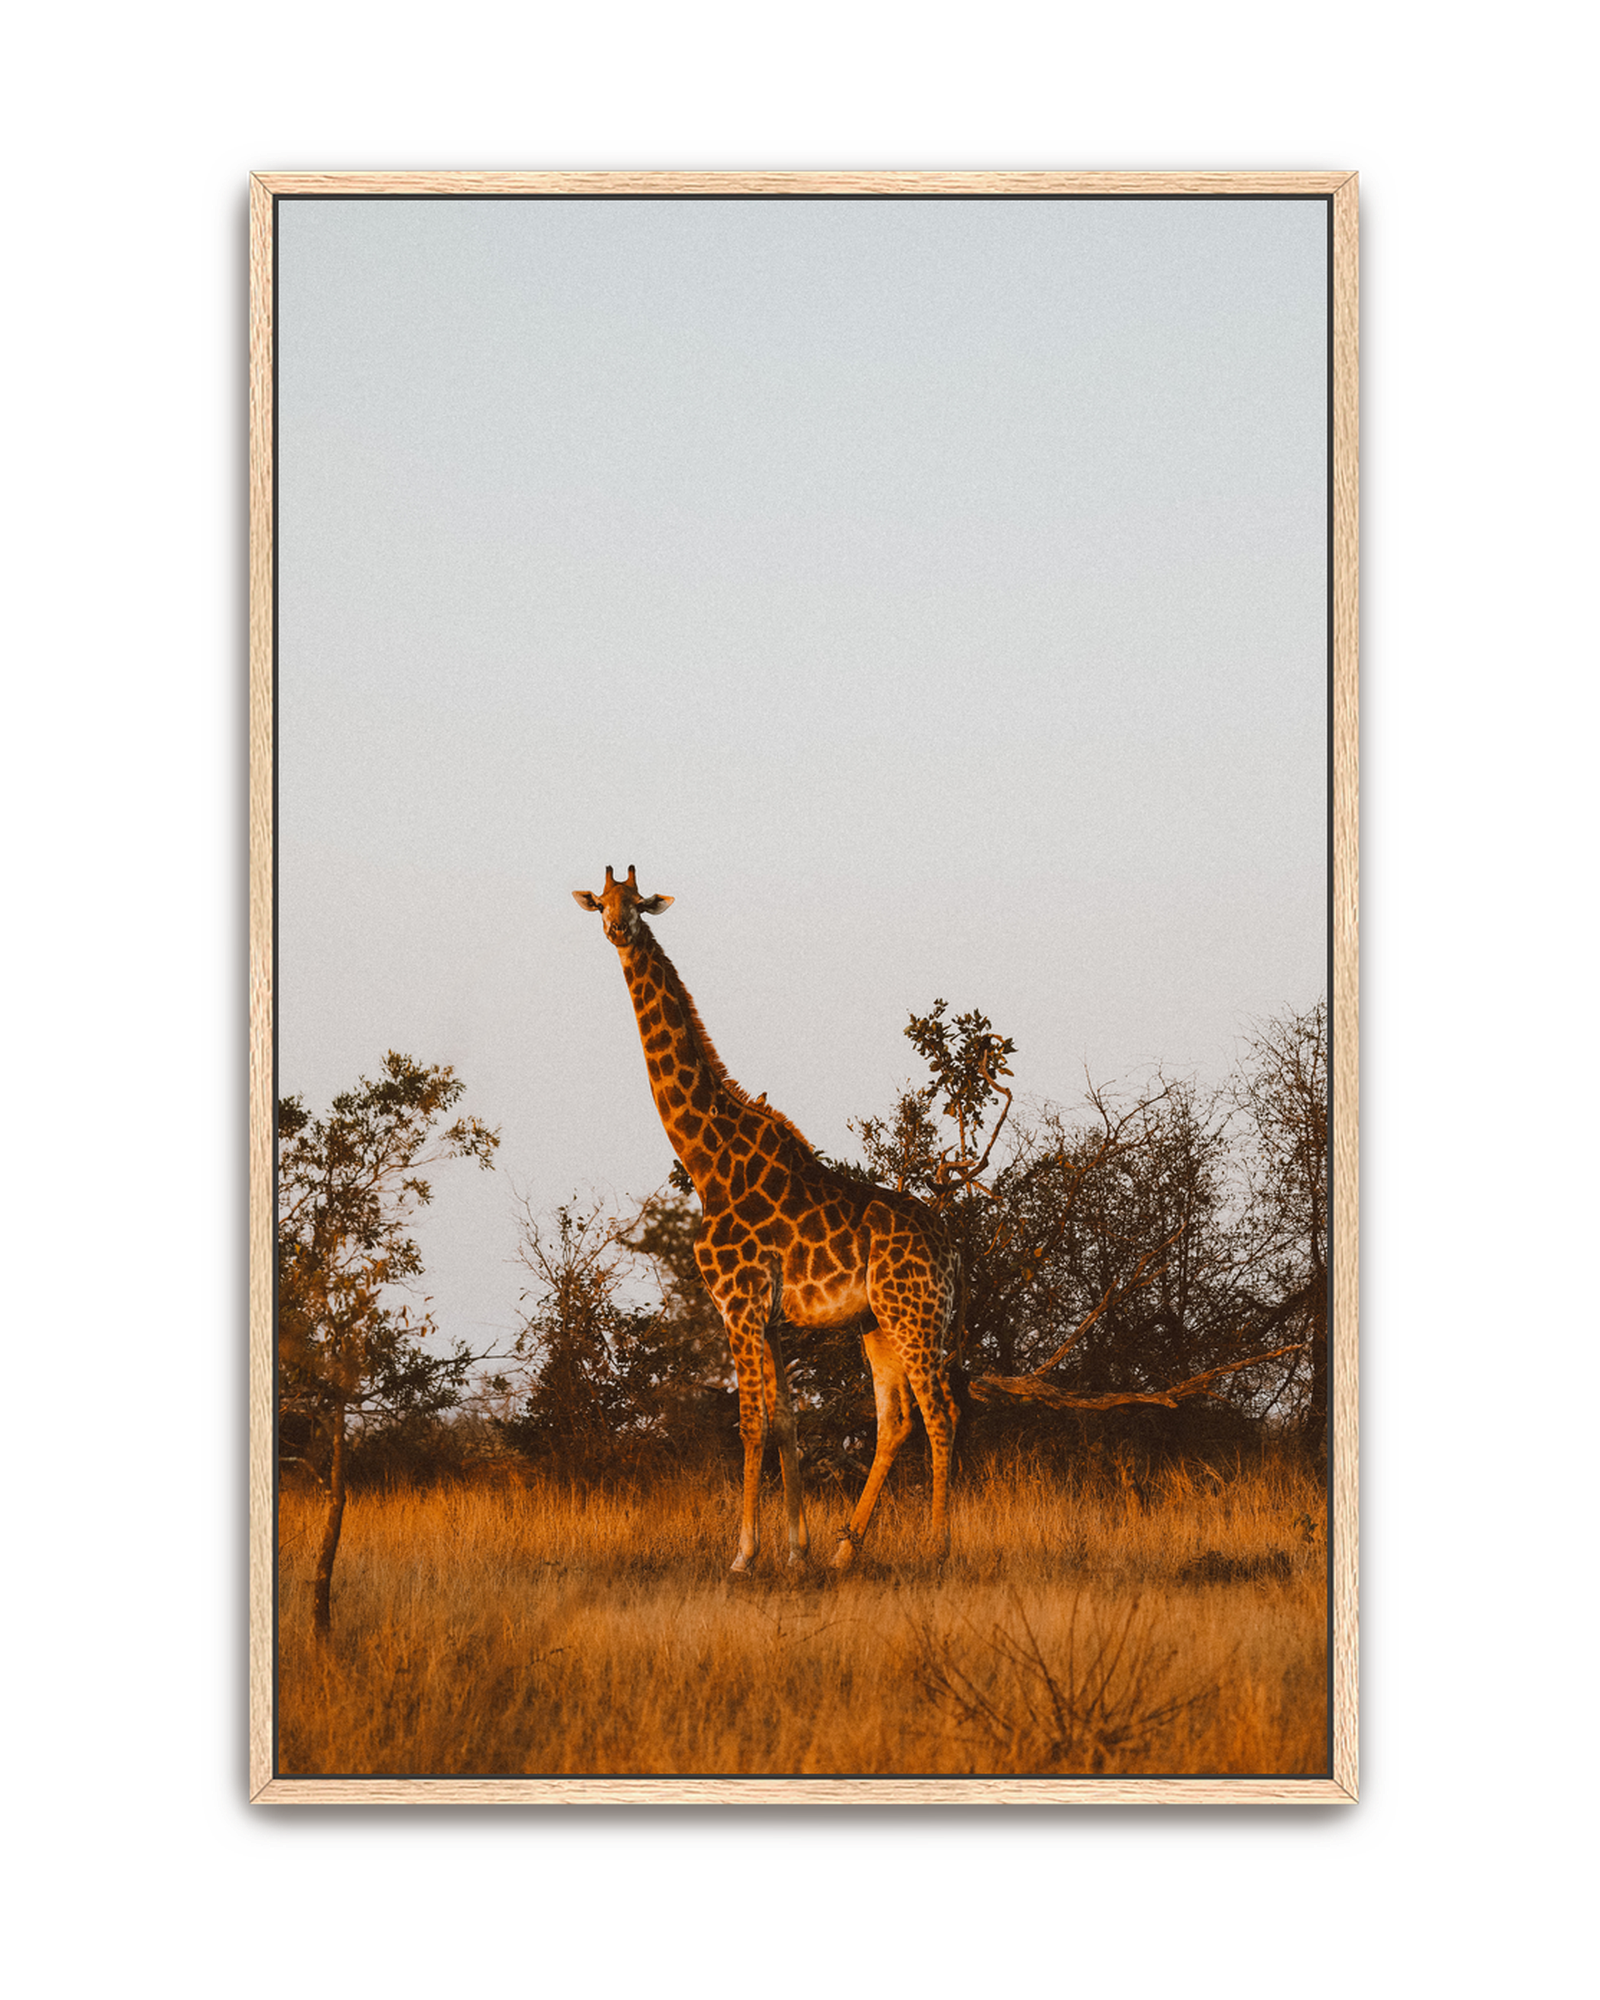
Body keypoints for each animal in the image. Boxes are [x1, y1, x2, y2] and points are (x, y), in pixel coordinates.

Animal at [573, 865, 962, 1572]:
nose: (617, 929)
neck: (708, 1162)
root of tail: (953, 1248)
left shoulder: (739, 1301)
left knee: (939, 1414)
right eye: (602, 902)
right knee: (895, 1421)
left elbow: (751, 1420)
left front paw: (744, 1554)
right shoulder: (773, 1316)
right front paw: (797, 1551)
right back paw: (844, 1553)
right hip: (878, 1322)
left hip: (915, 1314)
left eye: (637, 902)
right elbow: (786, 1419)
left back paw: (939, 1549)